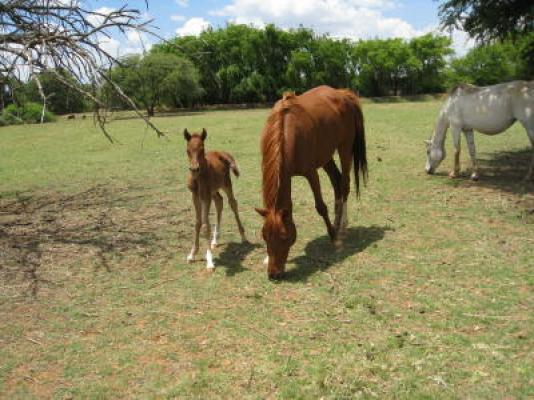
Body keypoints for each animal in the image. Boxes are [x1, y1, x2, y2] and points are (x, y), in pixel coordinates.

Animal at [184, 130, 247, 270]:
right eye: (188, 150)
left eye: (202, 149)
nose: (194, 169)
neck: (198, 178)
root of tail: (222, 153)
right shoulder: (195, 196)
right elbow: (198, 223)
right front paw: (192, 254)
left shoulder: (205, 196)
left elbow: (205, 225)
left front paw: (209, 261)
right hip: (214, 191)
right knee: (219, 202)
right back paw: (215, 240)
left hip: (226, 184)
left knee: (232, 203)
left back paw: (243, 236)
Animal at [256, 85, 368, 278]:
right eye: (264, 235)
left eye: (285, 236)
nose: (274, 274)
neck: (286, 132)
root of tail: (343, 94)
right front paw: (266, 258)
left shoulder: (310, 172)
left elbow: (320, 207)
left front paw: (334, 238)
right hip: (326, 156)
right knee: (336, 181)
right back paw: (337, 222)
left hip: (344, 147)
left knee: (344, 184)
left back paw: (341, 227)